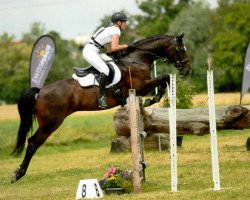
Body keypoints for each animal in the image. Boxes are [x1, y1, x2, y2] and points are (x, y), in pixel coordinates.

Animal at [10, 33, 191, 183]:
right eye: (181, 50)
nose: (188, 70)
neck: (137, 59)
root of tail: (40, 91)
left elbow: (164, 79)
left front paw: (153, 100)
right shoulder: (141, 86)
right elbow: (164, 78)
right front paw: (153, 100)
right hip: (50, 123)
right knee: (32, 143)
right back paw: (18, 174)